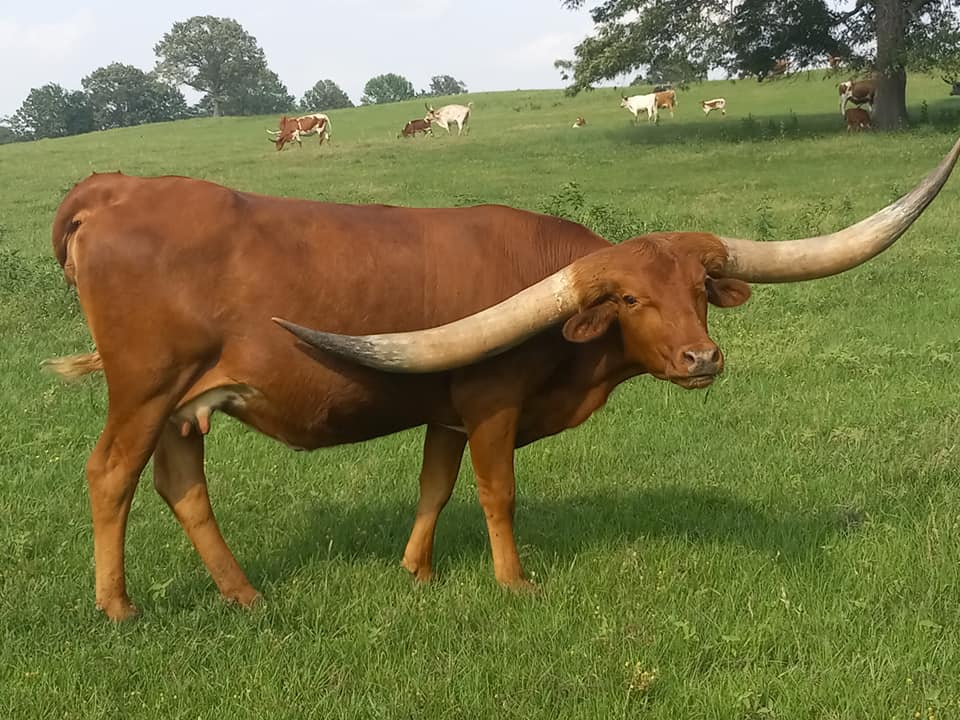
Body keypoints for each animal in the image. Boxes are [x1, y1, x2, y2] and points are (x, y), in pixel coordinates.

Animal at [46, 139, 960, 620]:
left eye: (700, 290)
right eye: (631, 298)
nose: (703, 359)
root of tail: (114, 187)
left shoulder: (445, 409)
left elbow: (434, 487)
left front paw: (416, 573)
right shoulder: (489, 402)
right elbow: (496, 492)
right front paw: (514, 582)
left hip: (183, 405)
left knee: (181, 485)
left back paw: (245, 596)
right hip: (143, 389)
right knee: (110, 476)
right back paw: (118, 608)